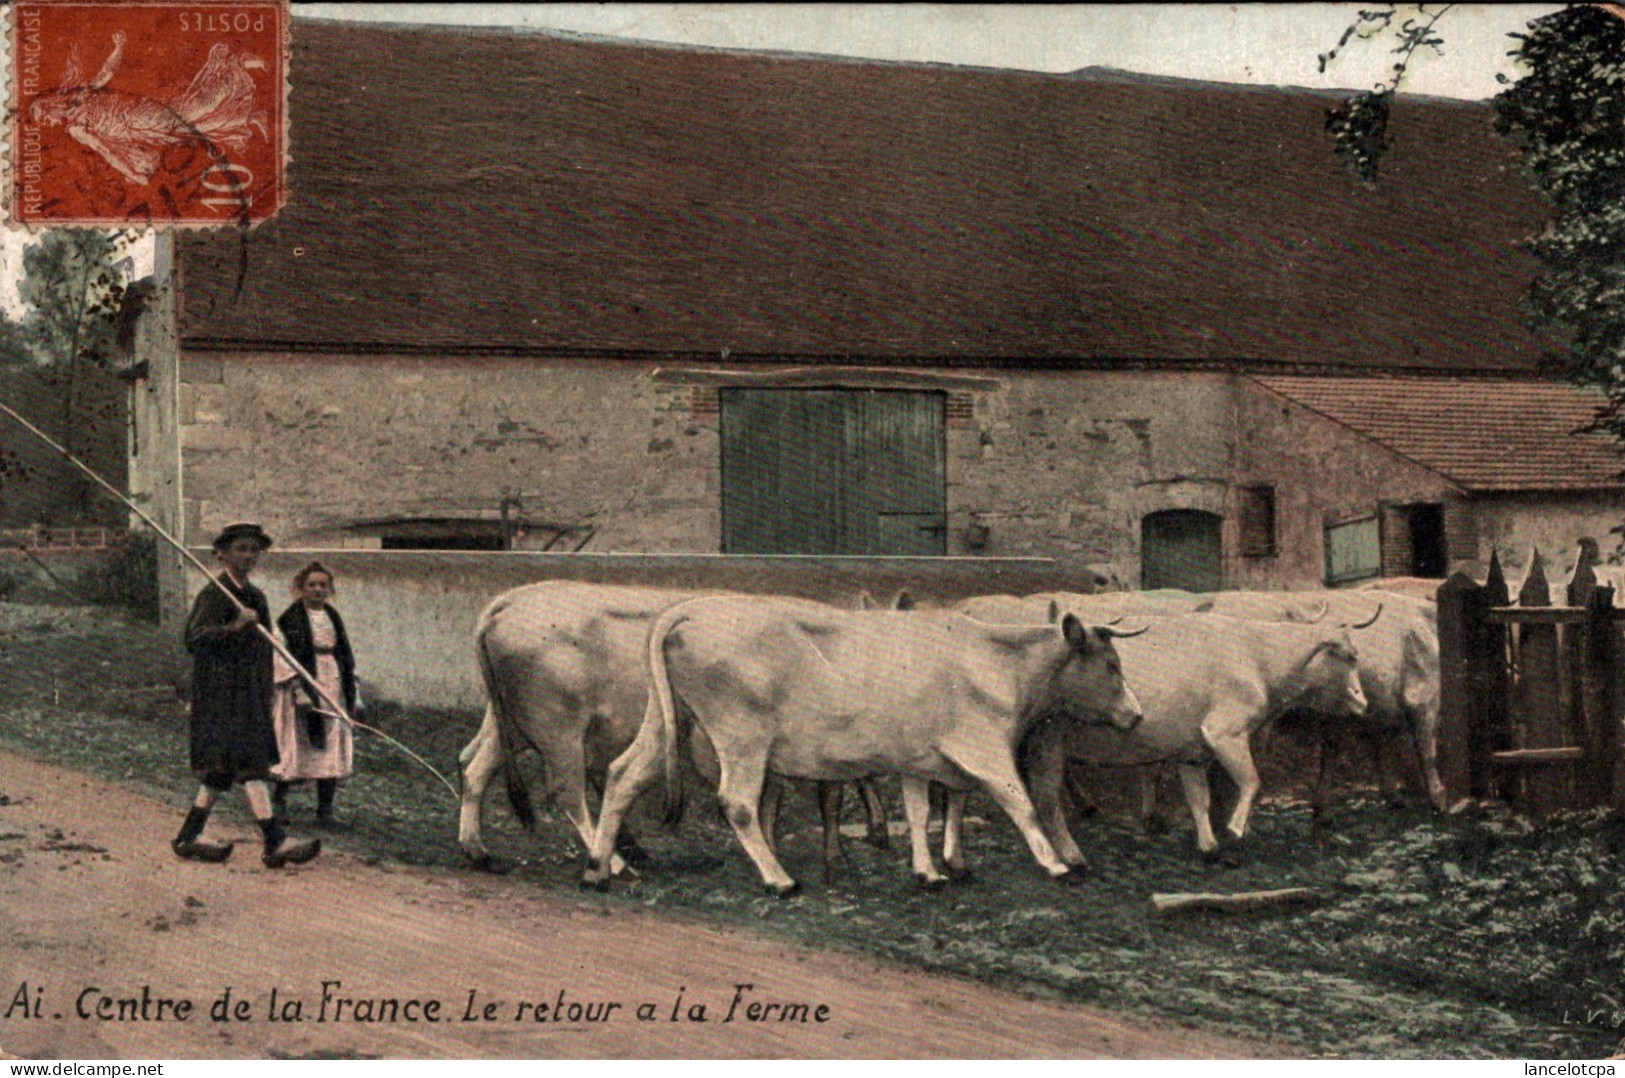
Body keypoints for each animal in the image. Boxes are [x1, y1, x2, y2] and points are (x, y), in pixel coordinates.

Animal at [585, 598, 1144, 891]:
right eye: (1111, 666)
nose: (1136, 714)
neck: (998, 660)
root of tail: (691, 608)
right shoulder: (982, 746)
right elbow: (1019, 801)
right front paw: (1054, 863)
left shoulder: (922, 757)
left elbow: (926, 810)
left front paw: (934, 869)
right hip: (743, 734)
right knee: (738, 803)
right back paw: (779, 878)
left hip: (669, 720)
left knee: (623, 774)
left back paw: (598, 868)